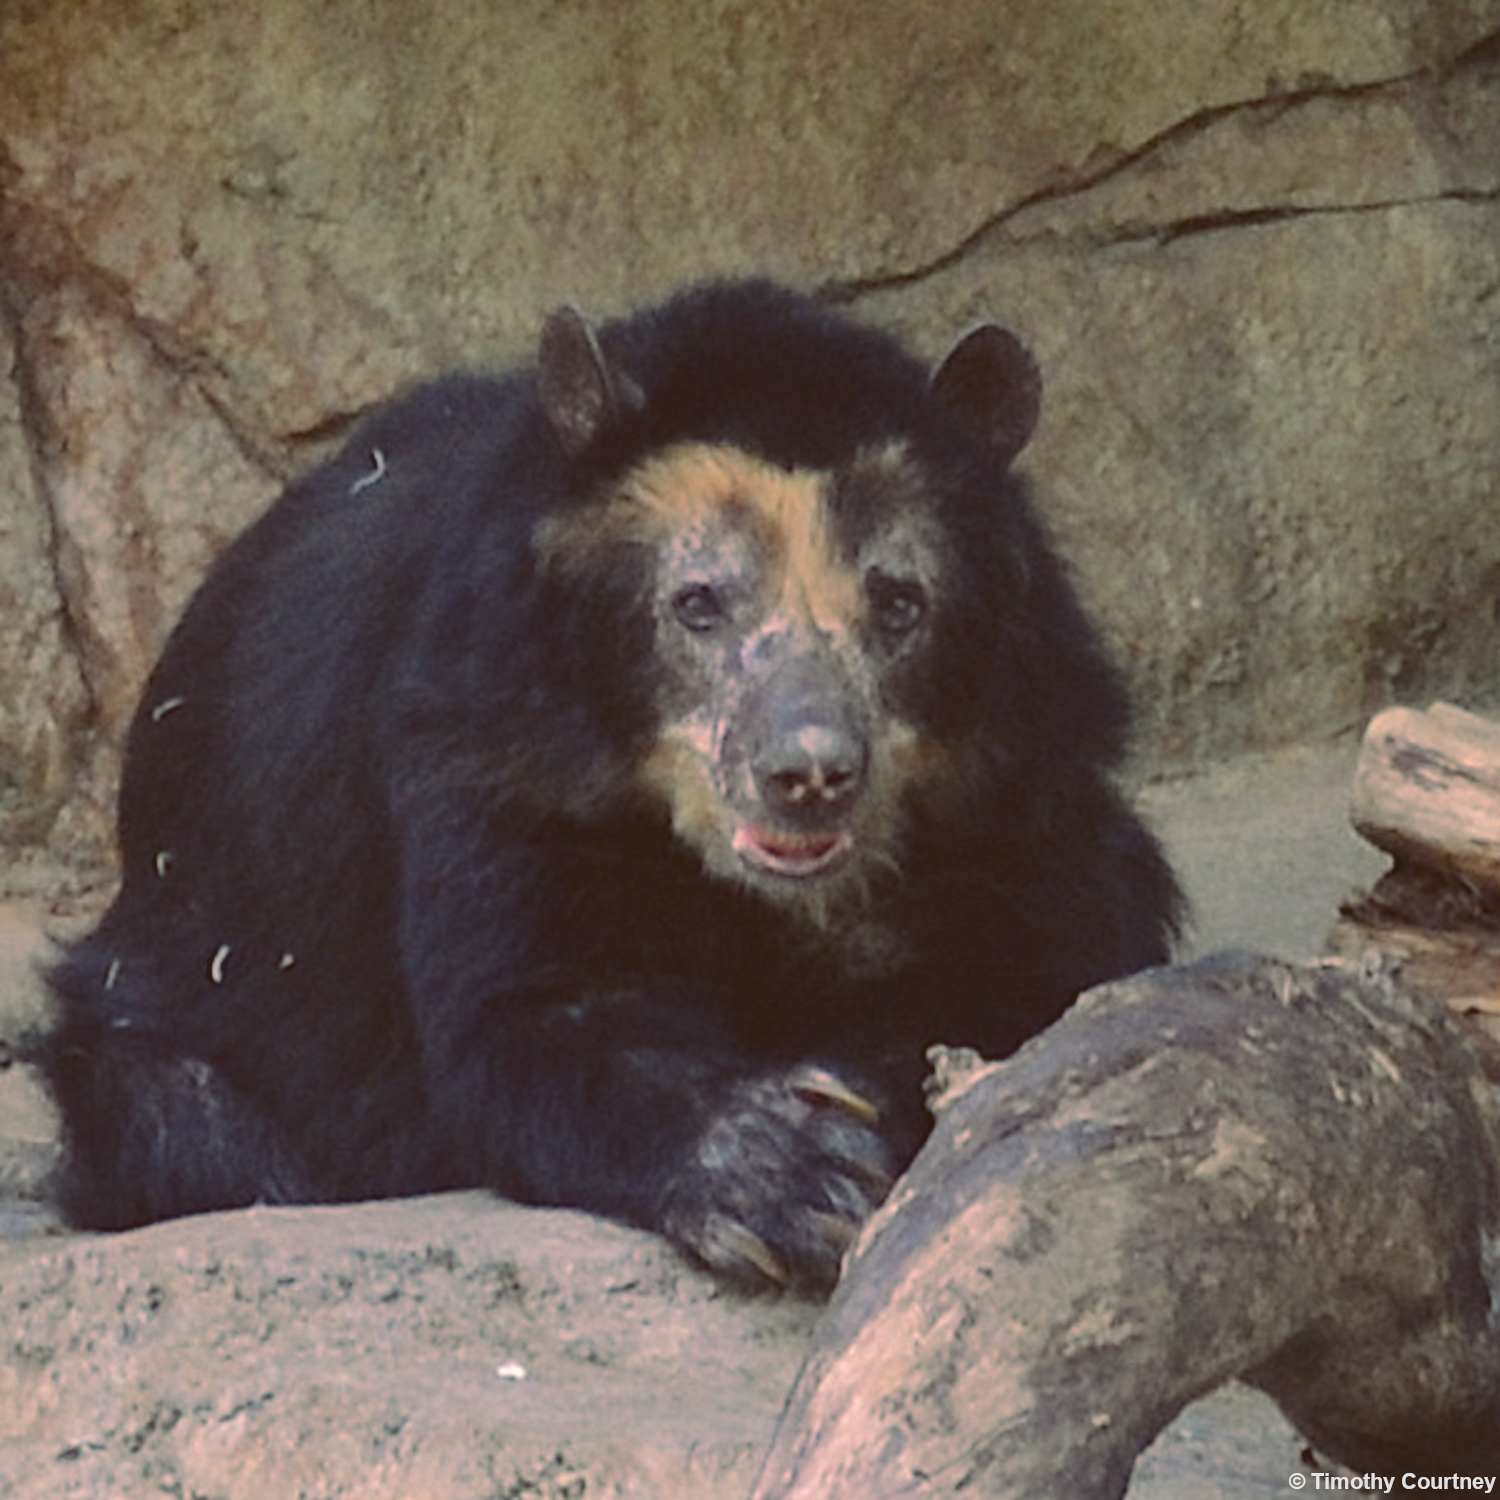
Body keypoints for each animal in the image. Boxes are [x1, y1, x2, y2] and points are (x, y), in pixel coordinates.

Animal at [37, 280, 1180, 1295]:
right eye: (697, 603)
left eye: (900, 603)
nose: (808, 774)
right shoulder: (494, 756)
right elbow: (536, 1013)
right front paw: (786, 1178)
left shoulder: (1018, 790)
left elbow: (1032, 970)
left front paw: (866, 1101)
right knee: (198, 1128)